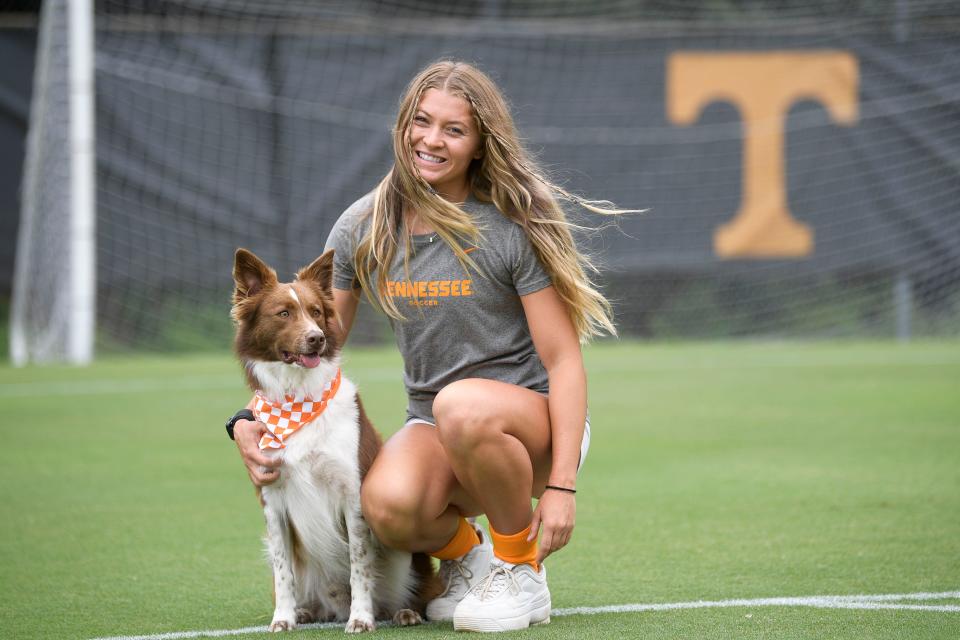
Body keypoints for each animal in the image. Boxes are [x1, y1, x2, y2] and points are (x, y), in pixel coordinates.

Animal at [232, 248, 436, 632]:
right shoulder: (273, 502)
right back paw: (305, 611)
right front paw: (283, 618)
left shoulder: (352, 496)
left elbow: (360, 566)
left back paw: (403, 612)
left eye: (315, 312)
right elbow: (283, 571)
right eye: (283, 313)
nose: (316, 338)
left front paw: (361, 618)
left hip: (405, 557)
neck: (298, 398)